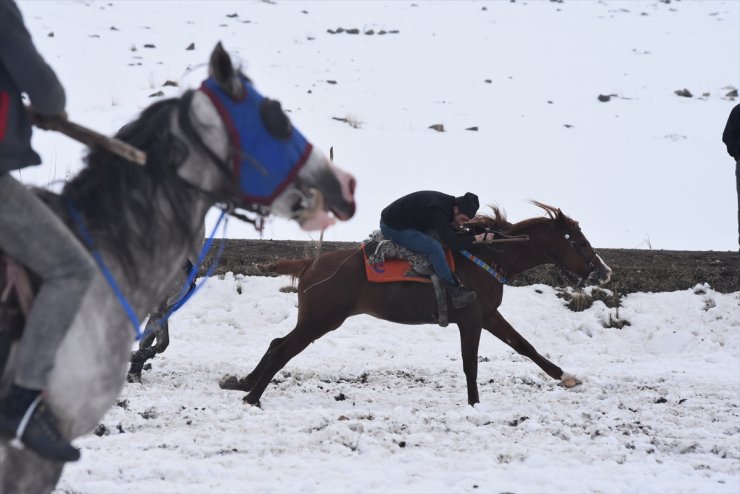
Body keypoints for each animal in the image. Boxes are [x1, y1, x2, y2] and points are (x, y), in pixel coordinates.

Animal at [0, 43, 358, 494]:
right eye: (271, 120)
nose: (337, 188)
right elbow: (155, 339)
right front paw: (138, 361)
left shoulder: (163, 300)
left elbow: (161, 340)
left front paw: (140, 361)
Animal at [225, 201, 612, 406]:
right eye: (578, 241)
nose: (605, 271)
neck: (484, 257)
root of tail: (310, 263)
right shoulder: (471, 318)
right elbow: (470, 364)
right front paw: (474, 403)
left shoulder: (488, 315)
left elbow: (525, 346)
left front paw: (566, 377)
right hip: (320, 320)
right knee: (282, 349)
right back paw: (252, 396)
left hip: (314, 320)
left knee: (276, 343)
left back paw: (243, 382)